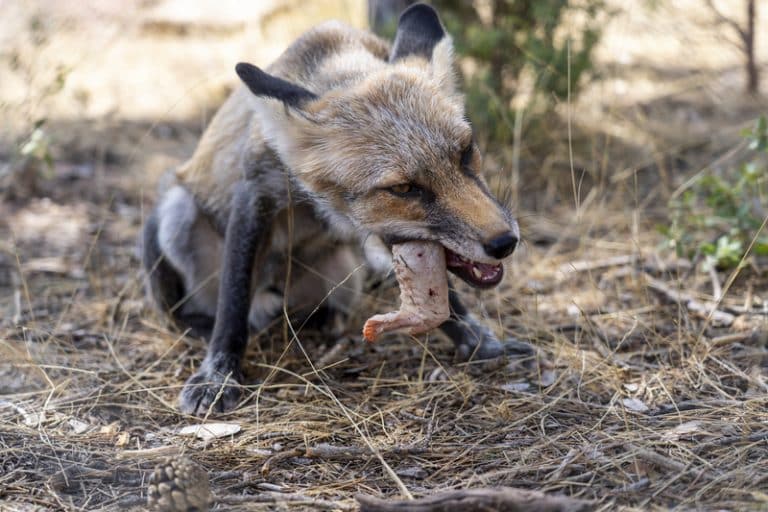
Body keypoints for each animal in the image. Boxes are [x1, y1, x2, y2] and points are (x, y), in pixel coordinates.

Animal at [141, 3, 526, 416]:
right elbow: (233, 301)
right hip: (174, 214)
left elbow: (440, 297)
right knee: (192, 309)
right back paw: (206, 324)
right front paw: (218, 375)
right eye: (404, 188)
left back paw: (319, 318)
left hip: (345, 271)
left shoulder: (388, 236)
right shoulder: (254, 194)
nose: (504, 242)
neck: (333, 57)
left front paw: (477, 341)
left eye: (466, 152)